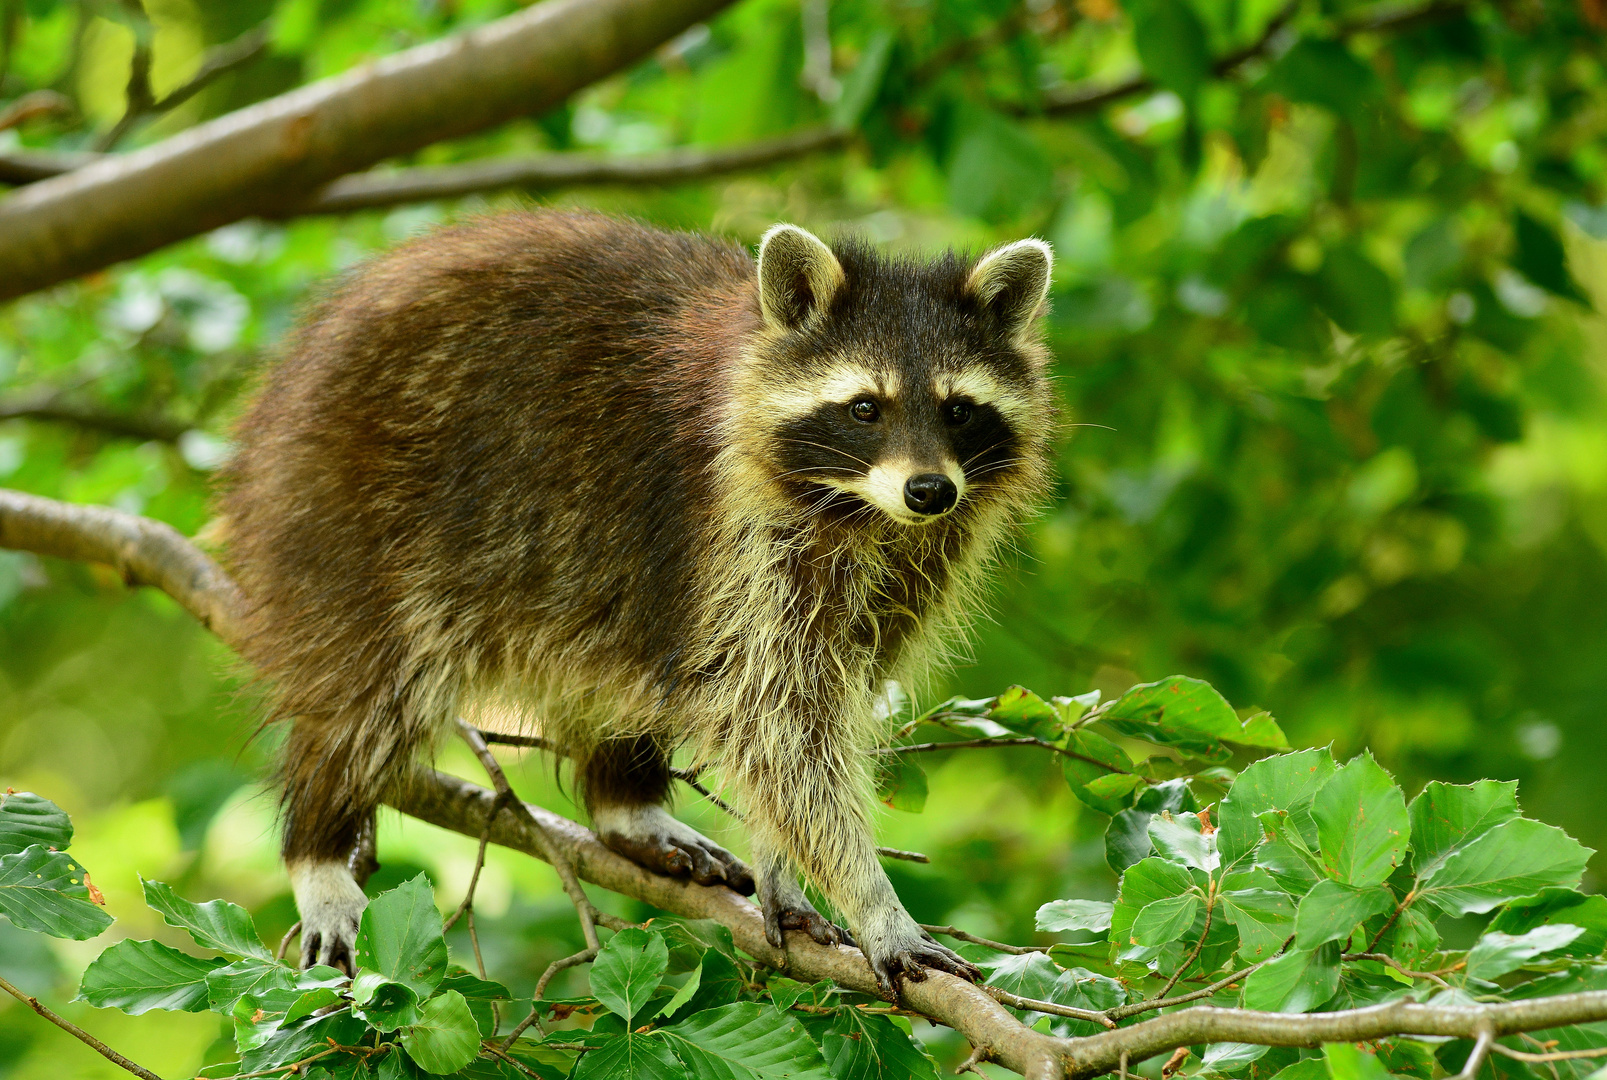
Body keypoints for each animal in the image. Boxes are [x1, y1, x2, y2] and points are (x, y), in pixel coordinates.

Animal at [223, 208, 1054, 996]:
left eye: (957, 409)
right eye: (864, 409)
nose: (929, 490)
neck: (860, 508)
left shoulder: (913, 564)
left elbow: (808, 709)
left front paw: (781, 860)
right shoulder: (739, 524)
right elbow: (777, 718)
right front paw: (874, 903)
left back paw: (622, 800)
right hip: (349, 507)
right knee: (373, 690)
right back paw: (319, 843)